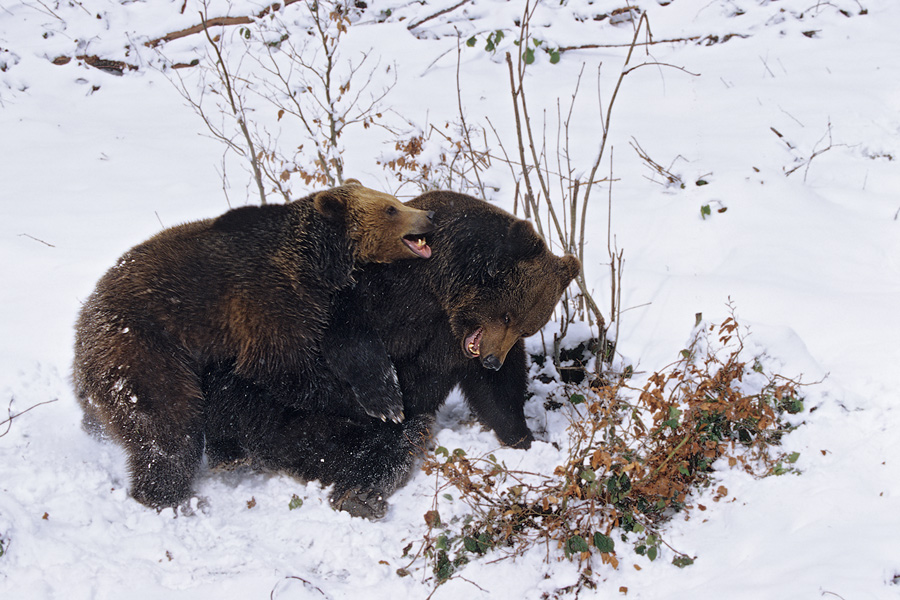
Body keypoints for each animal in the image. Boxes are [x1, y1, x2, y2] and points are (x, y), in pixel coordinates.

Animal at [72, 180, 434, 508]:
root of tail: (83, 322)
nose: (428, 215)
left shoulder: (318, 304)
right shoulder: (267, 299)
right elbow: (286, 368)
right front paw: (378, 406)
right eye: (390, 208)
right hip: (143, 346)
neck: (315, 263)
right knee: (167, 423)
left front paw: (386, 397)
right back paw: (170, 497)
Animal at [200, 191, 580, 516]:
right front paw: (385, 397)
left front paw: (525, 438)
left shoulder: (454, 345)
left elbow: (498, 392)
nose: (491, 359)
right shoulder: (389, 287)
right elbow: (347, 330)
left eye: (526, 327)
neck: (445, 292)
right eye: (508, 315)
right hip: (256, 383)